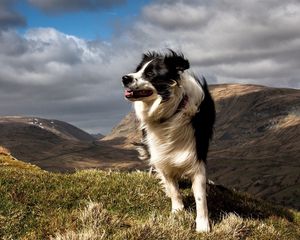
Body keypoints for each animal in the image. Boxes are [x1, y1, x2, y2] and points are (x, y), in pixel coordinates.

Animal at [120, 49, 214, 232]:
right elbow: (173, 187)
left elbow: (200, 197)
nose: (125, 78)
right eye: (137, 70)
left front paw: (203, 225)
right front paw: (178, 211)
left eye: (150, 74)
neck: (172, 110)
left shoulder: (196, 156)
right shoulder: (162, 155)